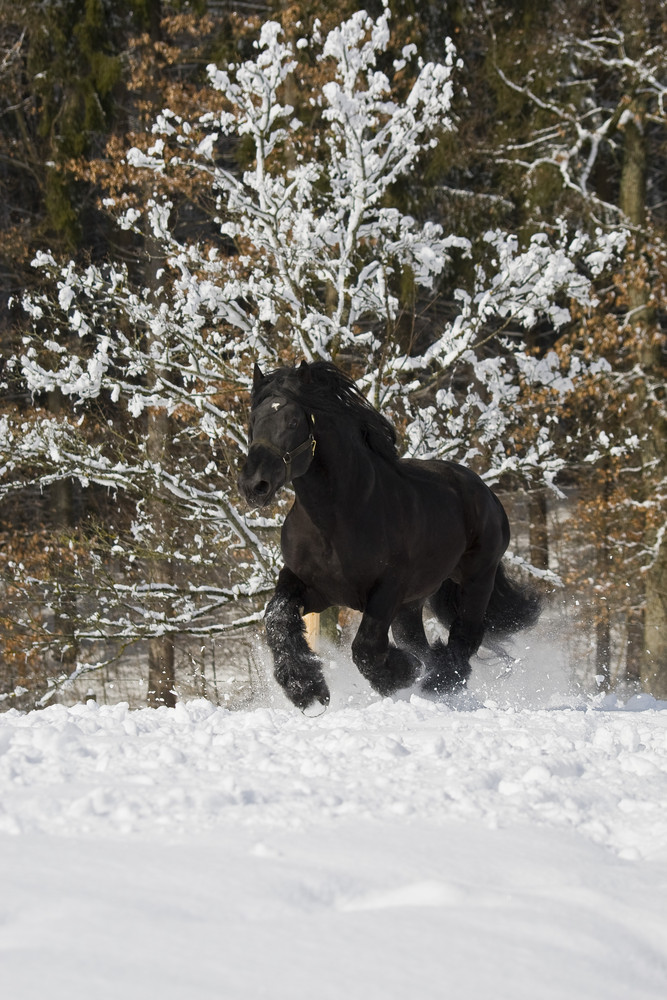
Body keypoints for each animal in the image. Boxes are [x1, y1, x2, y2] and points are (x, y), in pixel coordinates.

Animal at [237, 360, 540, 712]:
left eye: (293, 420)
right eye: (253, 421)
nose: (254, 486)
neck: (336, 520)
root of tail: (483, 491)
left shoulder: (387, 590)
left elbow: (366, 647)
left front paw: (400, 675)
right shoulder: (310, 586)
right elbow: (277, 618)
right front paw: (305, 688)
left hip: (477, 579)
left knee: (466, 634)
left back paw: (439, 682)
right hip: (413, 604)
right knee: (422, 641)